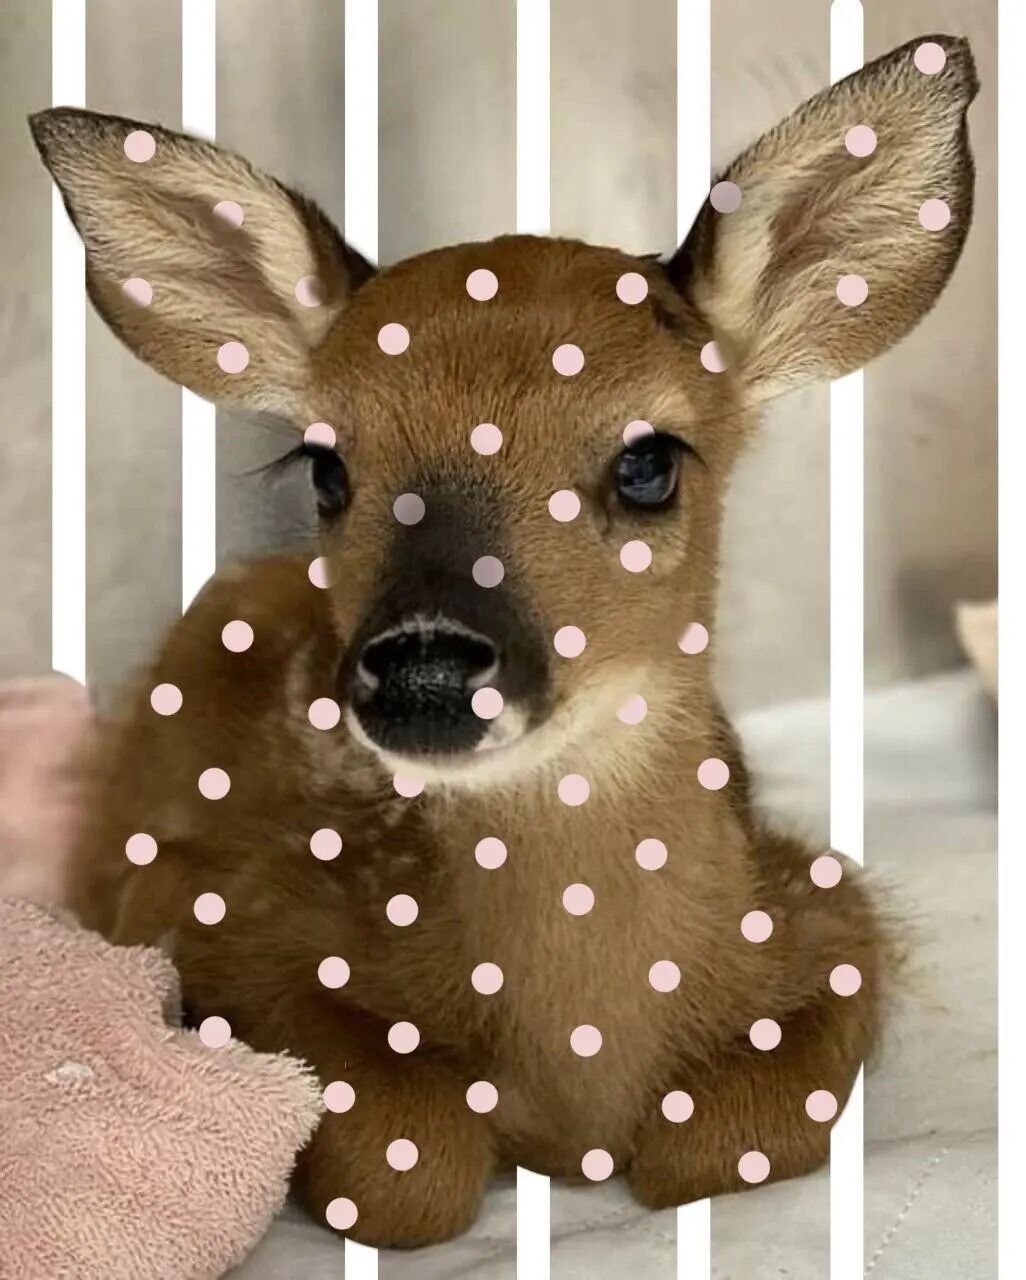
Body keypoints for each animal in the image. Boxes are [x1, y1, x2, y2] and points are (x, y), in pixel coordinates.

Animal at [30, 32, 976, 1249]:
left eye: (649, 461)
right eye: (328, 466)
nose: (425, 666)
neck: (581, 1070)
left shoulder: (828, 911)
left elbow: (734, 1140)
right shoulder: (206, 906)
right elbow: (410, 1168)